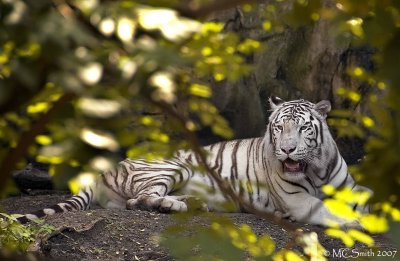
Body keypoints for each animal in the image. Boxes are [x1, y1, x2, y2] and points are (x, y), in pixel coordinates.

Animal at [17, 97, 370, 225]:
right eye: (279, 128)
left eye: (302, 128)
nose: (286, 150)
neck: (316, 169)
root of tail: (107, 169)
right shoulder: (298, 201)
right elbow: (333, 212)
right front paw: (359, 226)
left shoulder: (350, 188)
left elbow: (365, 200)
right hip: (176, 166)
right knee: (141, 200)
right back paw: (177, 205)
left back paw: (191, 203)